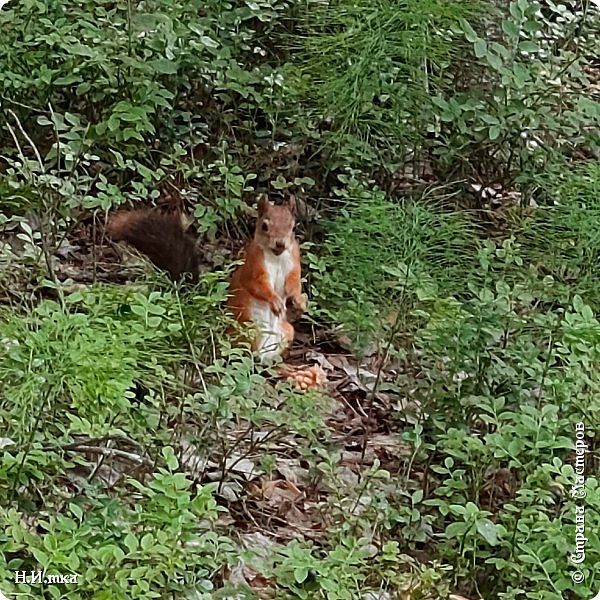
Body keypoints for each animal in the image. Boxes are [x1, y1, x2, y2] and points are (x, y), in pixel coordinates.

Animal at [104, 199, 304, 364]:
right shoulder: (253, 265)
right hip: (248, 329)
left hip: (287, 332)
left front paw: (300, 301)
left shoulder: (293, 262)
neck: (276, 256)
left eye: (293, 228)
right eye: (264, 226)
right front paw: (275, 301)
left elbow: (293, 284)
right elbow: (257, 286)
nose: (280, 244)